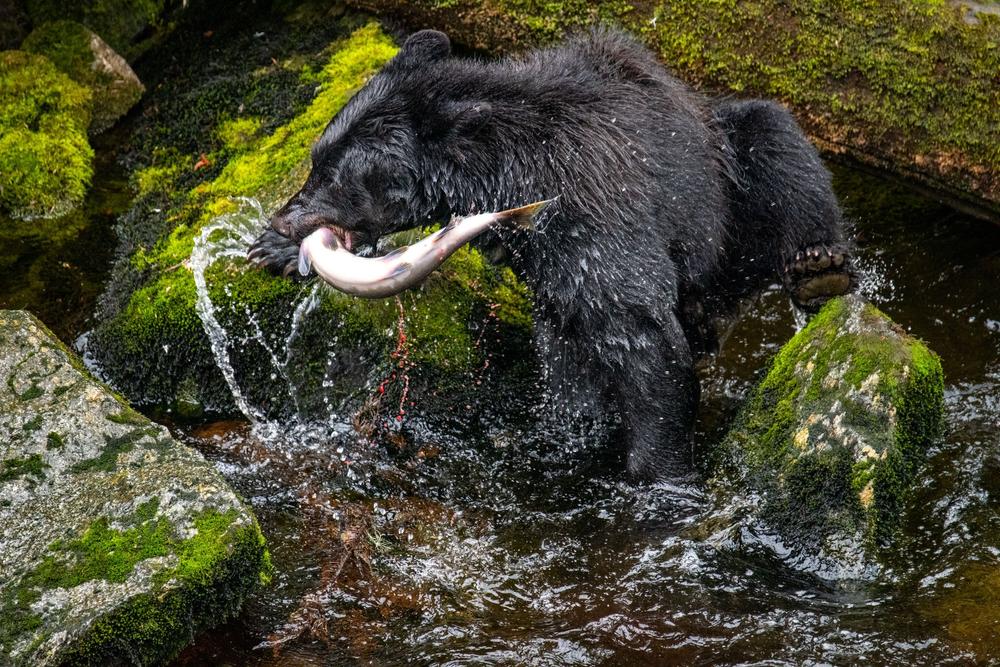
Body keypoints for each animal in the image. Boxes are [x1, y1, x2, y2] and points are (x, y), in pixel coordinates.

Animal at [248, 27, 855, 481]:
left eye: (337, 177)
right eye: (316, 159)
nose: (283, 221)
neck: (511, 176)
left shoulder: (593, 214)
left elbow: (641, 334)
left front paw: (657, 474)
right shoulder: (550, 255)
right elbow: (575, 374)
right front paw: (268, 250)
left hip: (727, 194)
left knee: (777, 141)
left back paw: (818, 269)